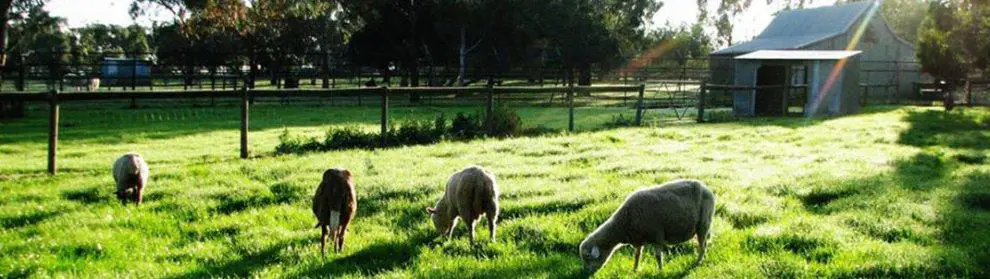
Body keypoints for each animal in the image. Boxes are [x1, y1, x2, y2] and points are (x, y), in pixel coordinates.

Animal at [580, 180, 712, 274]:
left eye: (588, 258)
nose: (586, 273)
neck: (622, 224)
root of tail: (706, 187)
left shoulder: (657, 235)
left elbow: (658, 256)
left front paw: (660, 271)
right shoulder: (639, 240)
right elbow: (637, 255)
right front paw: (635, 270)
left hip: (704, 224)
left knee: (702, 246)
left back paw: (698, 262)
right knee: (704, 244)